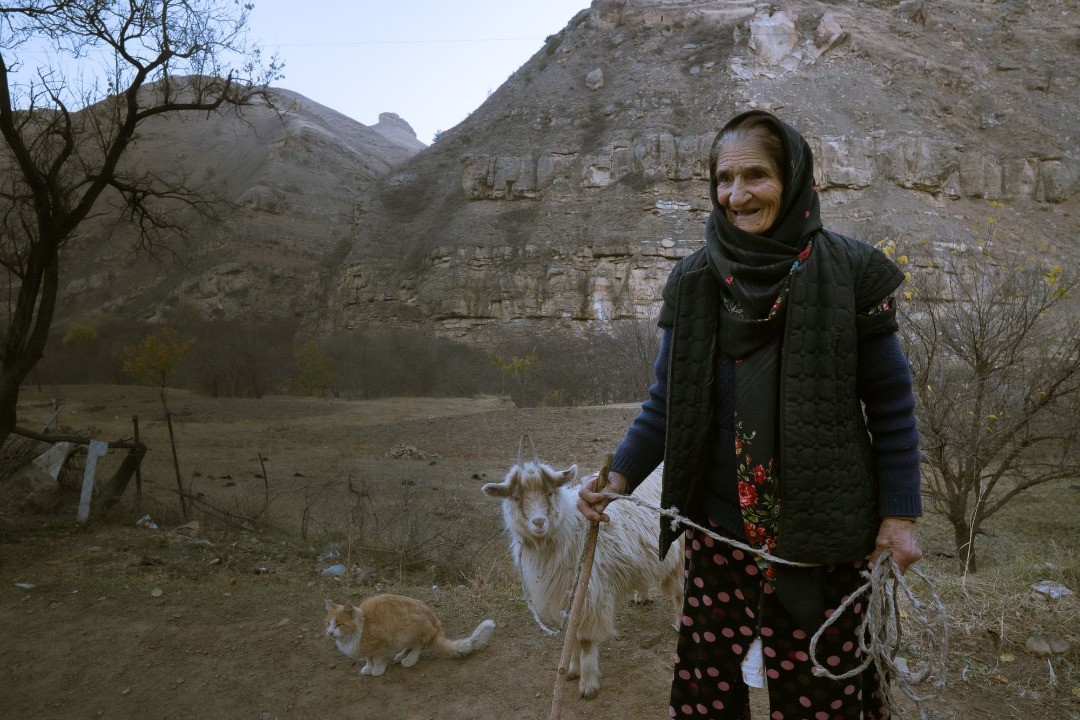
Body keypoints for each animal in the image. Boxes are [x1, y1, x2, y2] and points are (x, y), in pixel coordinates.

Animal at [321, 595, 494, 677]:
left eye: (339, 625)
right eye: (328, 623)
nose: (330, 632)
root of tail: (436, 623)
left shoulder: (379, 646)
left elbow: (377, 660)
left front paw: (377, 670)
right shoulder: (368, 650)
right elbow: (368, 659)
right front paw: (368, 668)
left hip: (408, 630)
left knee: (418, 647)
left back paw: (409, 660)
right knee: (410, 647)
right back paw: (400, 655)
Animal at [483, 459, 678, 699]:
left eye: (550, 492)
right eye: (516, 498)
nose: (538, 522)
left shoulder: (591, 593)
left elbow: (584, 640)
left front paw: (588, 683)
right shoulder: (566, 595)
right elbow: (572, 634)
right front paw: (571, 669)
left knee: (680, 594)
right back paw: (641, 595)